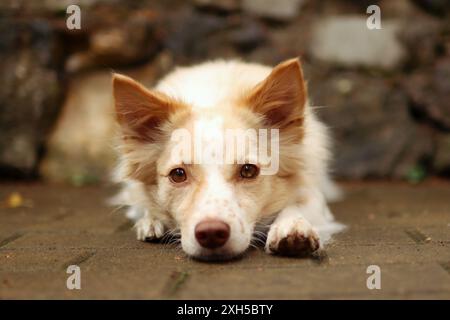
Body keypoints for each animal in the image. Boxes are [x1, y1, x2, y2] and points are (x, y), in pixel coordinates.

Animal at [112, 58, 344, 262]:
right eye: (178, 174)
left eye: (249, 170)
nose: (211, 234)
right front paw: (152, 219)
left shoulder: (312, 189)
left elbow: (298, 203)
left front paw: (293, 225)